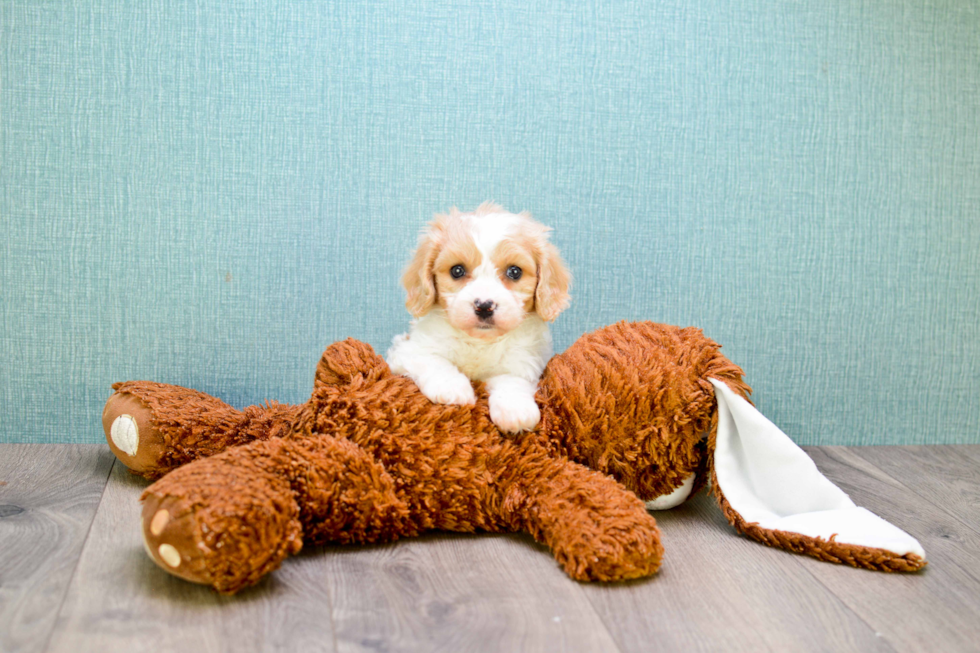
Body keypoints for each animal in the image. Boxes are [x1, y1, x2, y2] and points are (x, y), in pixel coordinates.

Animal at [386, 201, 572, 430]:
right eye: (457, 271)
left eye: (515, 272)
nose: (484, 306)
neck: (479, 341)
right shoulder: (407, 348)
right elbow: (434, 361)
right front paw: (451, 388)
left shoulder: (523, 362)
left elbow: (512, 380)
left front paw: (516, 409)